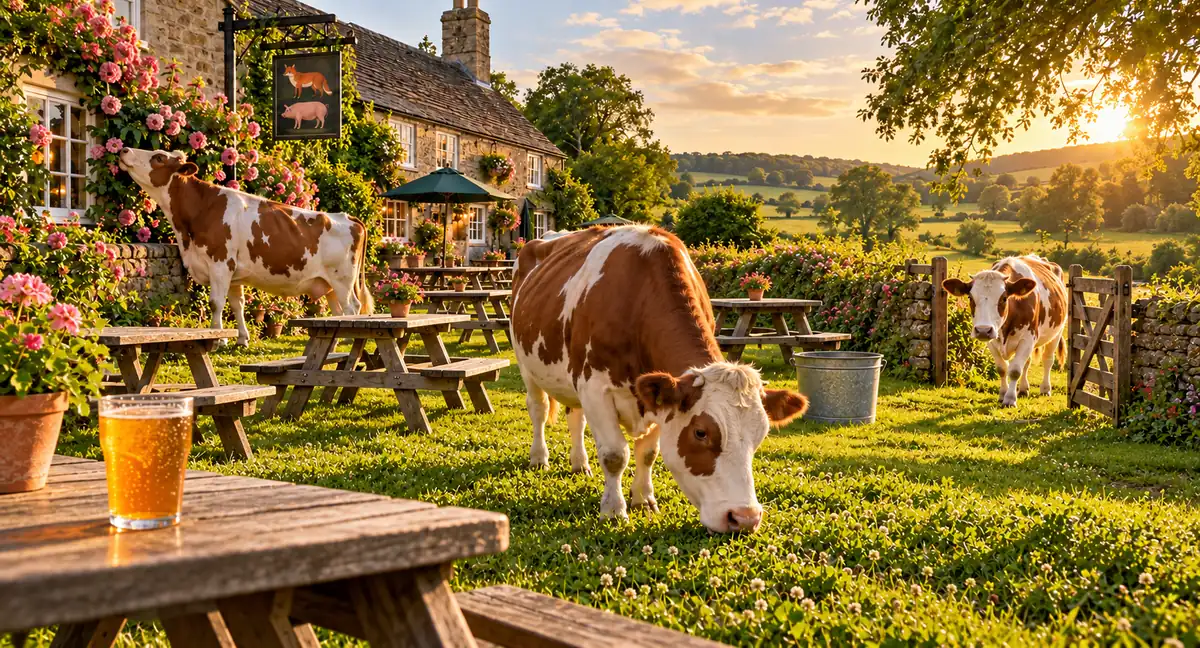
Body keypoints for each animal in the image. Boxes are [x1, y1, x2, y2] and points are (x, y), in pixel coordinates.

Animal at [118, 148, 373, 346]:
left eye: (159, 157)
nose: (124, 149)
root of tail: (347, 217)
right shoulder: (233, 273)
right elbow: (237, 305)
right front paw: (241, 338)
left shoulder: (220, 263)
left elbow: (216, 303)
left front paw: (218, 339)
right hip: (328, 284)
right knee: (338, 310)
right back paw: (339, 340)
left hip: (343, 279)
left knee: (352, 307)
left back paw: (349, 339)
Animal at [510, 226, 809, 533]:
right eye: (700, 432)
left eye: (761, 433)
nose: (744, 517)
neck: (637, 297)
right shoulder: (595, 389)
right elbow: (615, 455)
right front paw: (614, 511)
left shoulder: (658, 398)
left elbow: (648, 453)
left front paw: (644, 500)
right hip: (525, 363)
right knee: (539, 410)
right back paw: (539, 458)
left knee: (575, 418)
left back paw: (580, 464)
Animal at [943, 255, 1068, 407]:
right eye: (970, 298)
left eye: (1003, 298)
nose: (983, 330)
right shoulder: (992, 341)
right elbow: (1002, 368)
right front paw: (1002, 394)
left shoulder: (1028, 338)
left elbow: (1014, 371)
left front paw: (1010, 399)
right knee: (1027, 362)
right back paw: (1023, 389)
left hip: (1057, 332)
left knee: (1047, 360)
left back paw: (1045, 388)